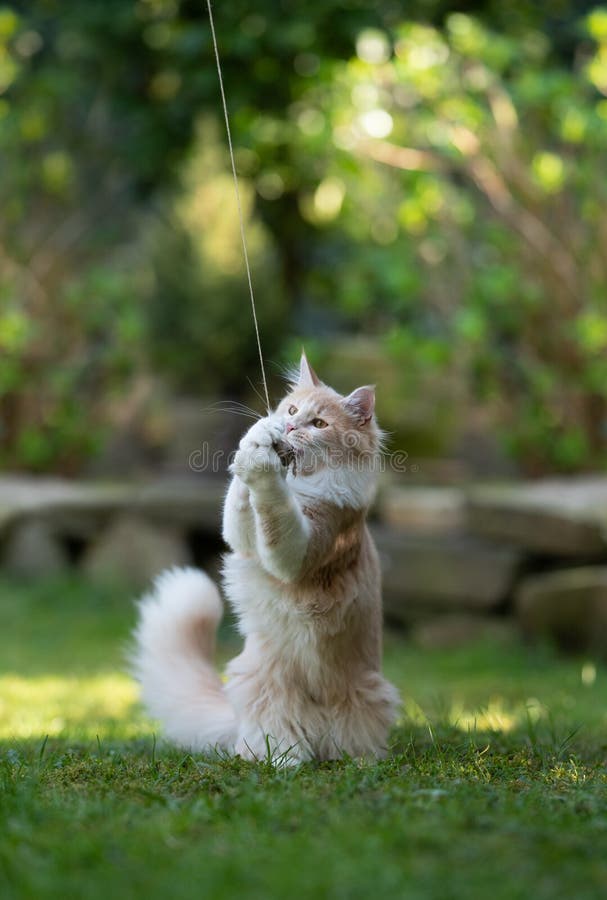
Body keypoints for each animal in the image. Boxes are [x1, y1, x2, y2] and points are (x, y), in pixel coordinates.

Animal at [132, 356, 400, 764]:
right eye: (290, 411)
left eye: (318, 424)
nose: (288, 427)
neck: (301, 484)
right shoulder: (244, 540)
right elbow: (240, 503)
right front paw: (256, 441)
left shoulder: (301, 549)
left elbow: (273, 510)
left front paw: (263, 467)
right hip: (262, 686)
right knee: (273, 739)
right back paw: (283, 761)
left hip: (366, 695)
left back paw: (349, 760)